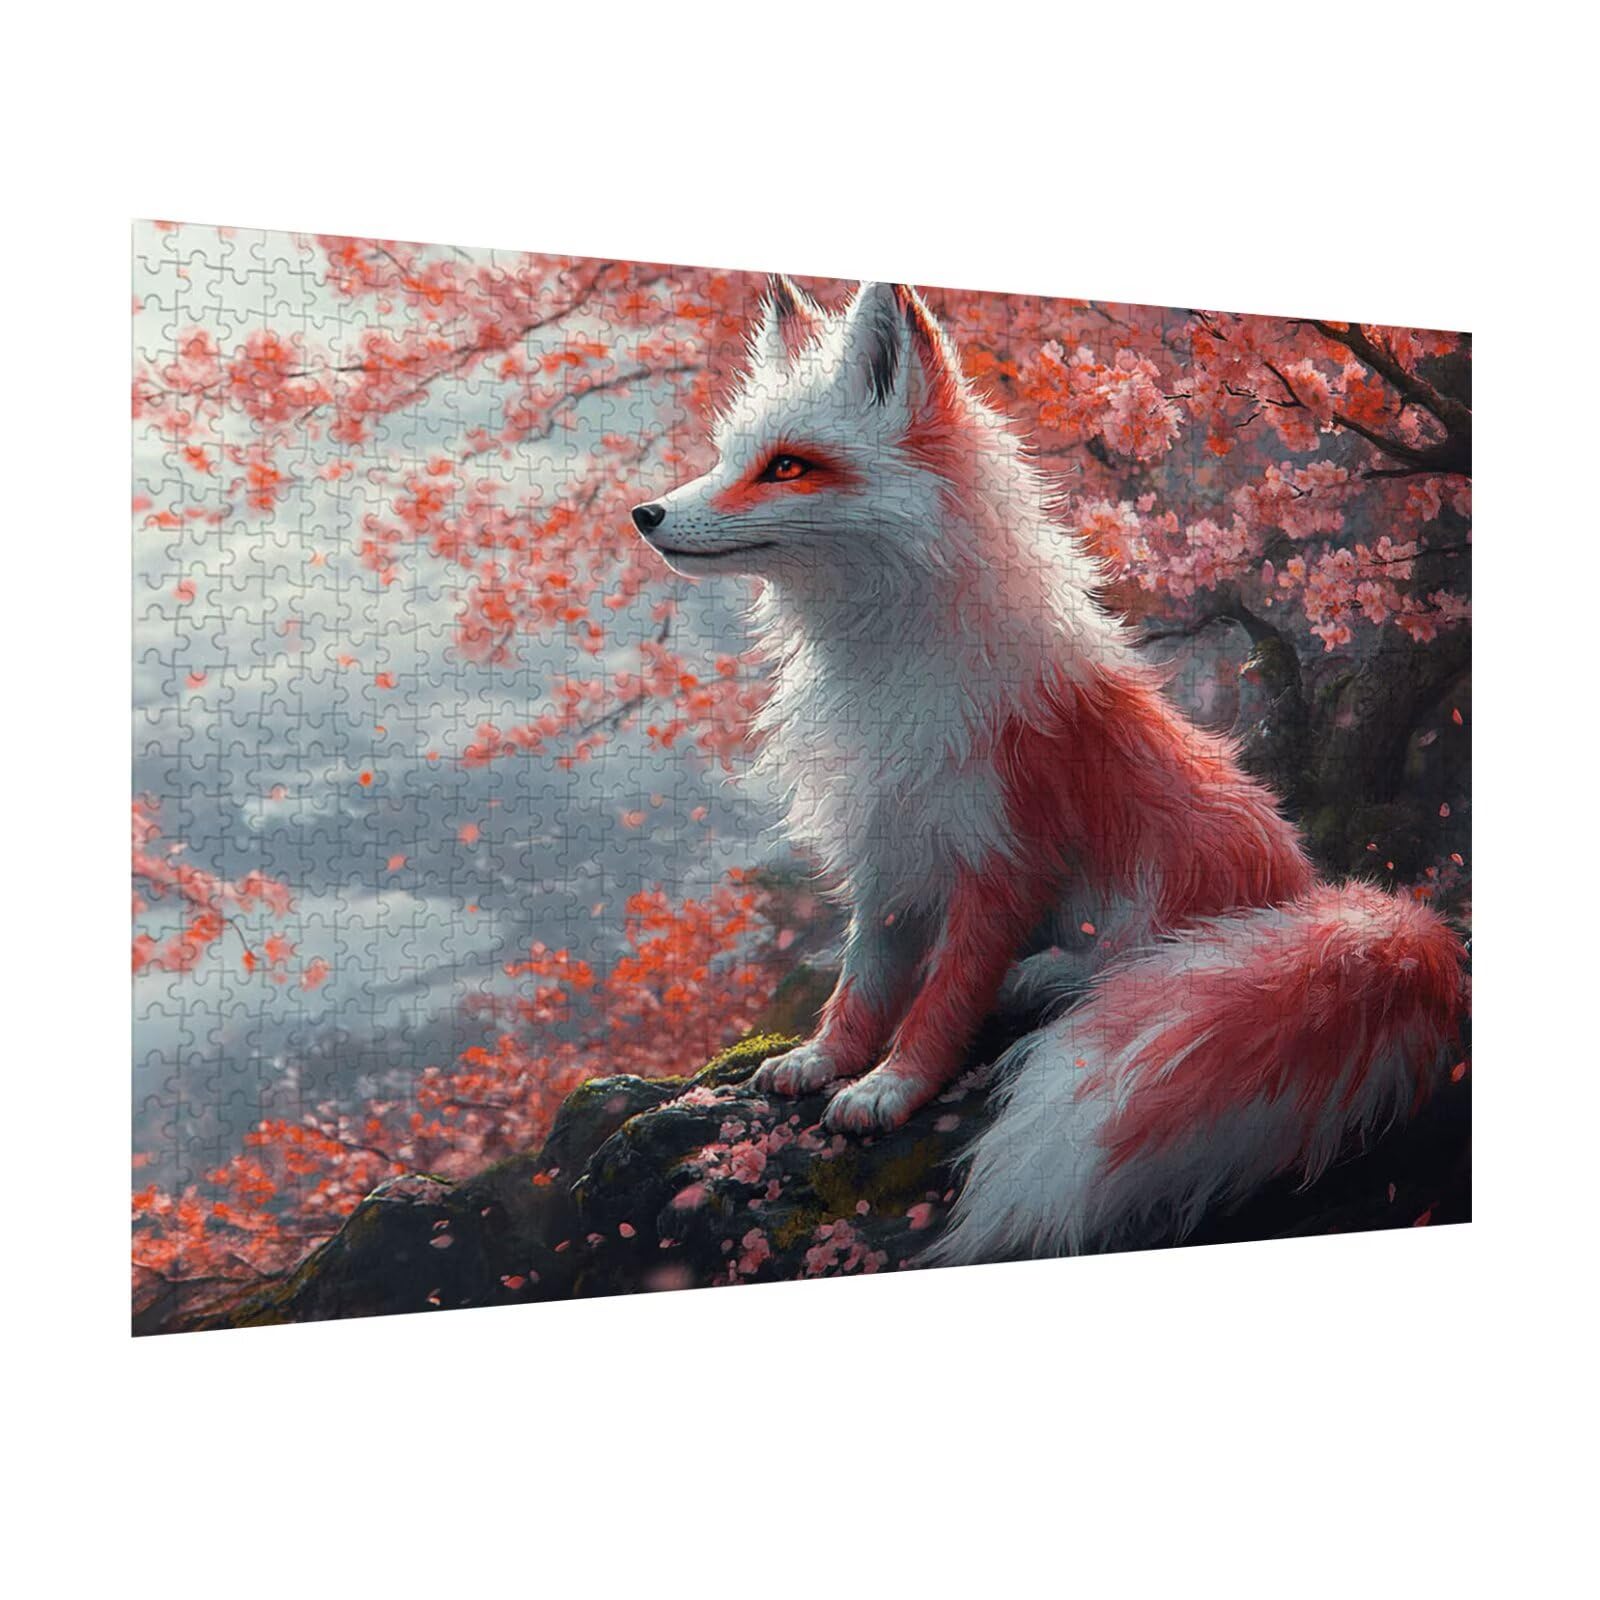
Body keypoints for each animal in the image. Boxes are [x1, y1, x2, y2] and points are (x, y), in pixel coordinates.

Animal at [629, 276, 1466, 1262]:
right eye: (729, 458)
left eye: (788, 467)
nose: (644, 515)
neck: (884, 671)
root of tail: (1317, 900)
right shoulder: (884, 845)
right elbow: (863, 981)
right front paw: (827, 1060)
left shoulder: (1002, 855)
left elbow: (943, 998)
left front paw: (889, 1088)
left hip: (1161, 884)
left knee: (1130, 972)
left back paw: (1057, 979)